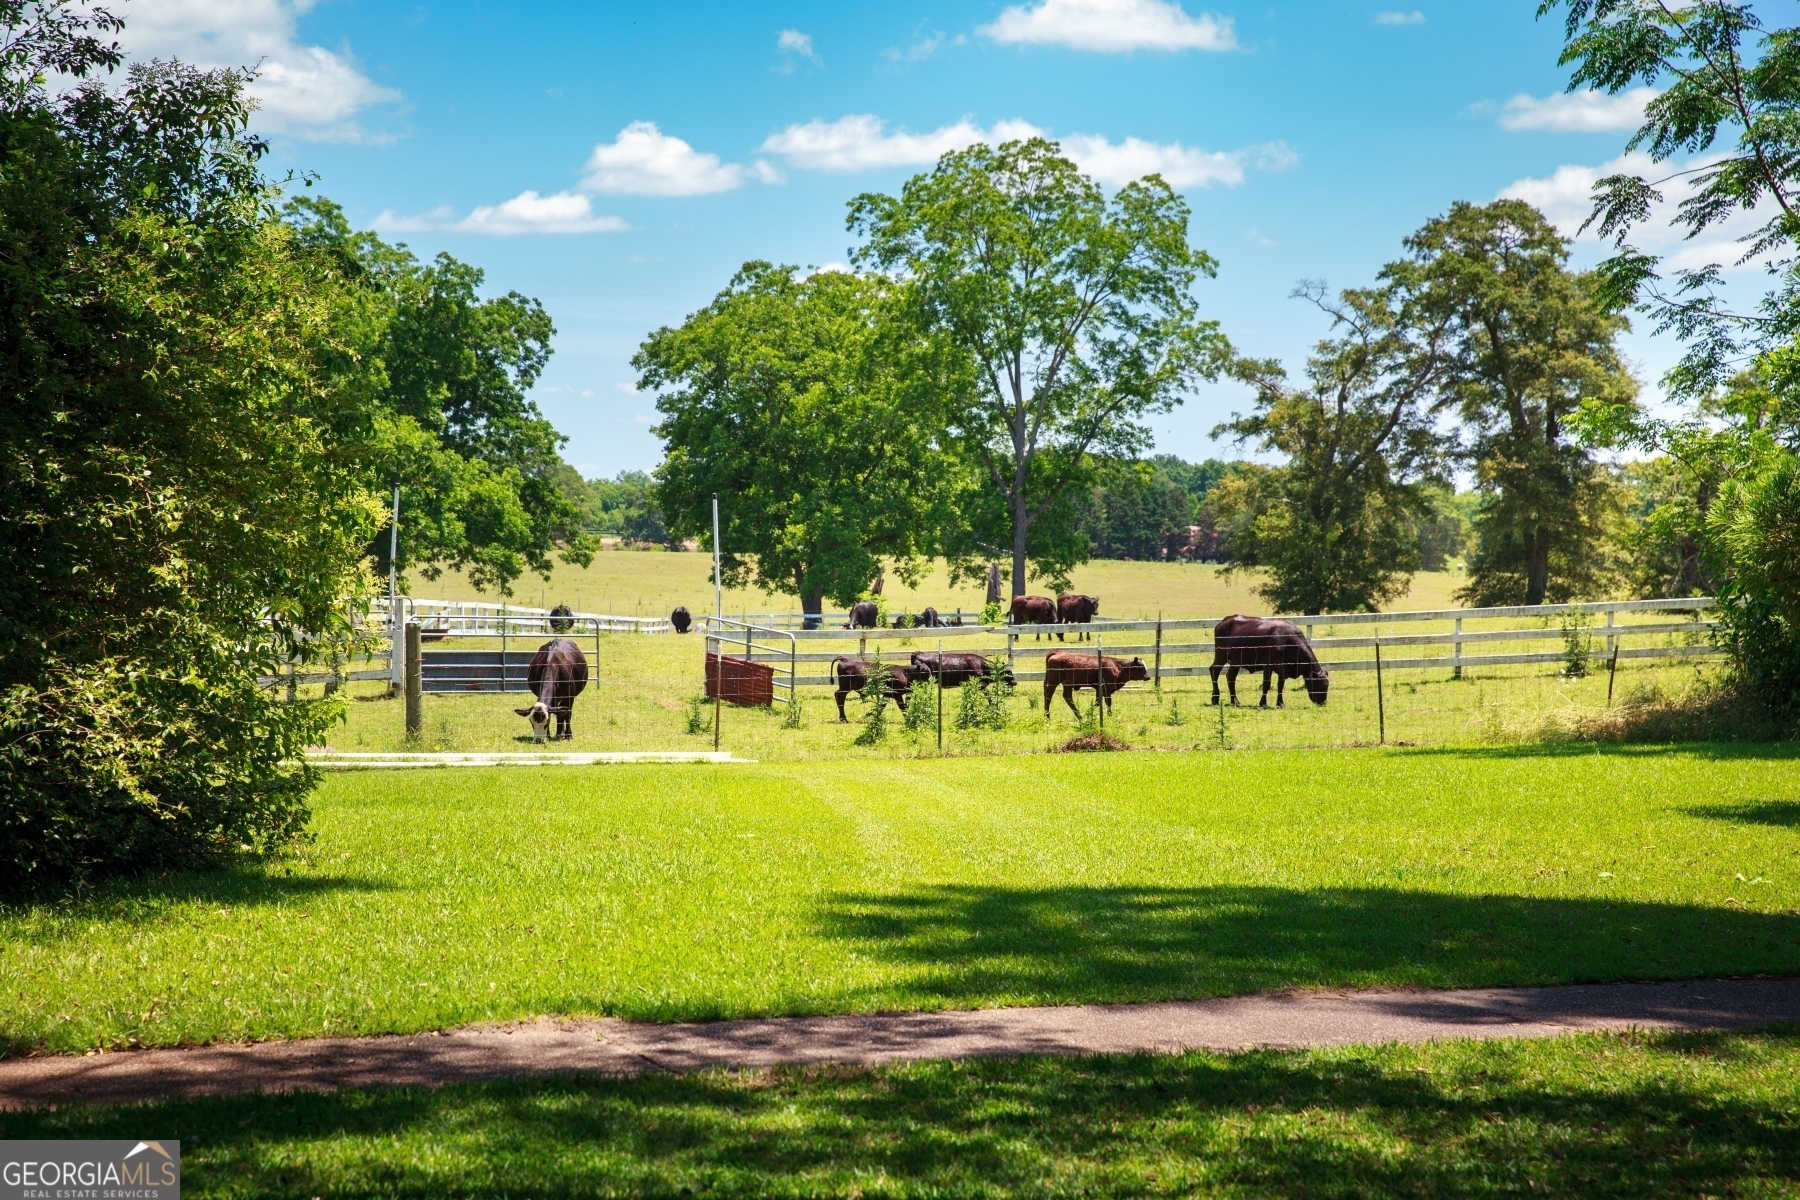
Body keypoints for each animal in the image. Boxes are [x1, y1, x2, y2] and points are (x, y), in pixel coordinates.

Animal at [1202, 615, 1332, 708]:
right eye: (1318, 685)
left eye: (1326, 686)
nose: (1323, 702)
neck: (1288, 642)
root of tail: (1225, 621)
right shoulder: (1268, 666)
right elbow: (1266, 684)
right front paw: (1263, 703)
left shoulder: (1283, 670)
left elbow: (1280, 686)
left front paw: (1280, 703)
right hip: (1221, 655)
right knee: (1214, 671)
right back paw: (1215, 698)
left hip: (1235, 661)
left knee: (1230, 678)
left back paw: (1235, 701)